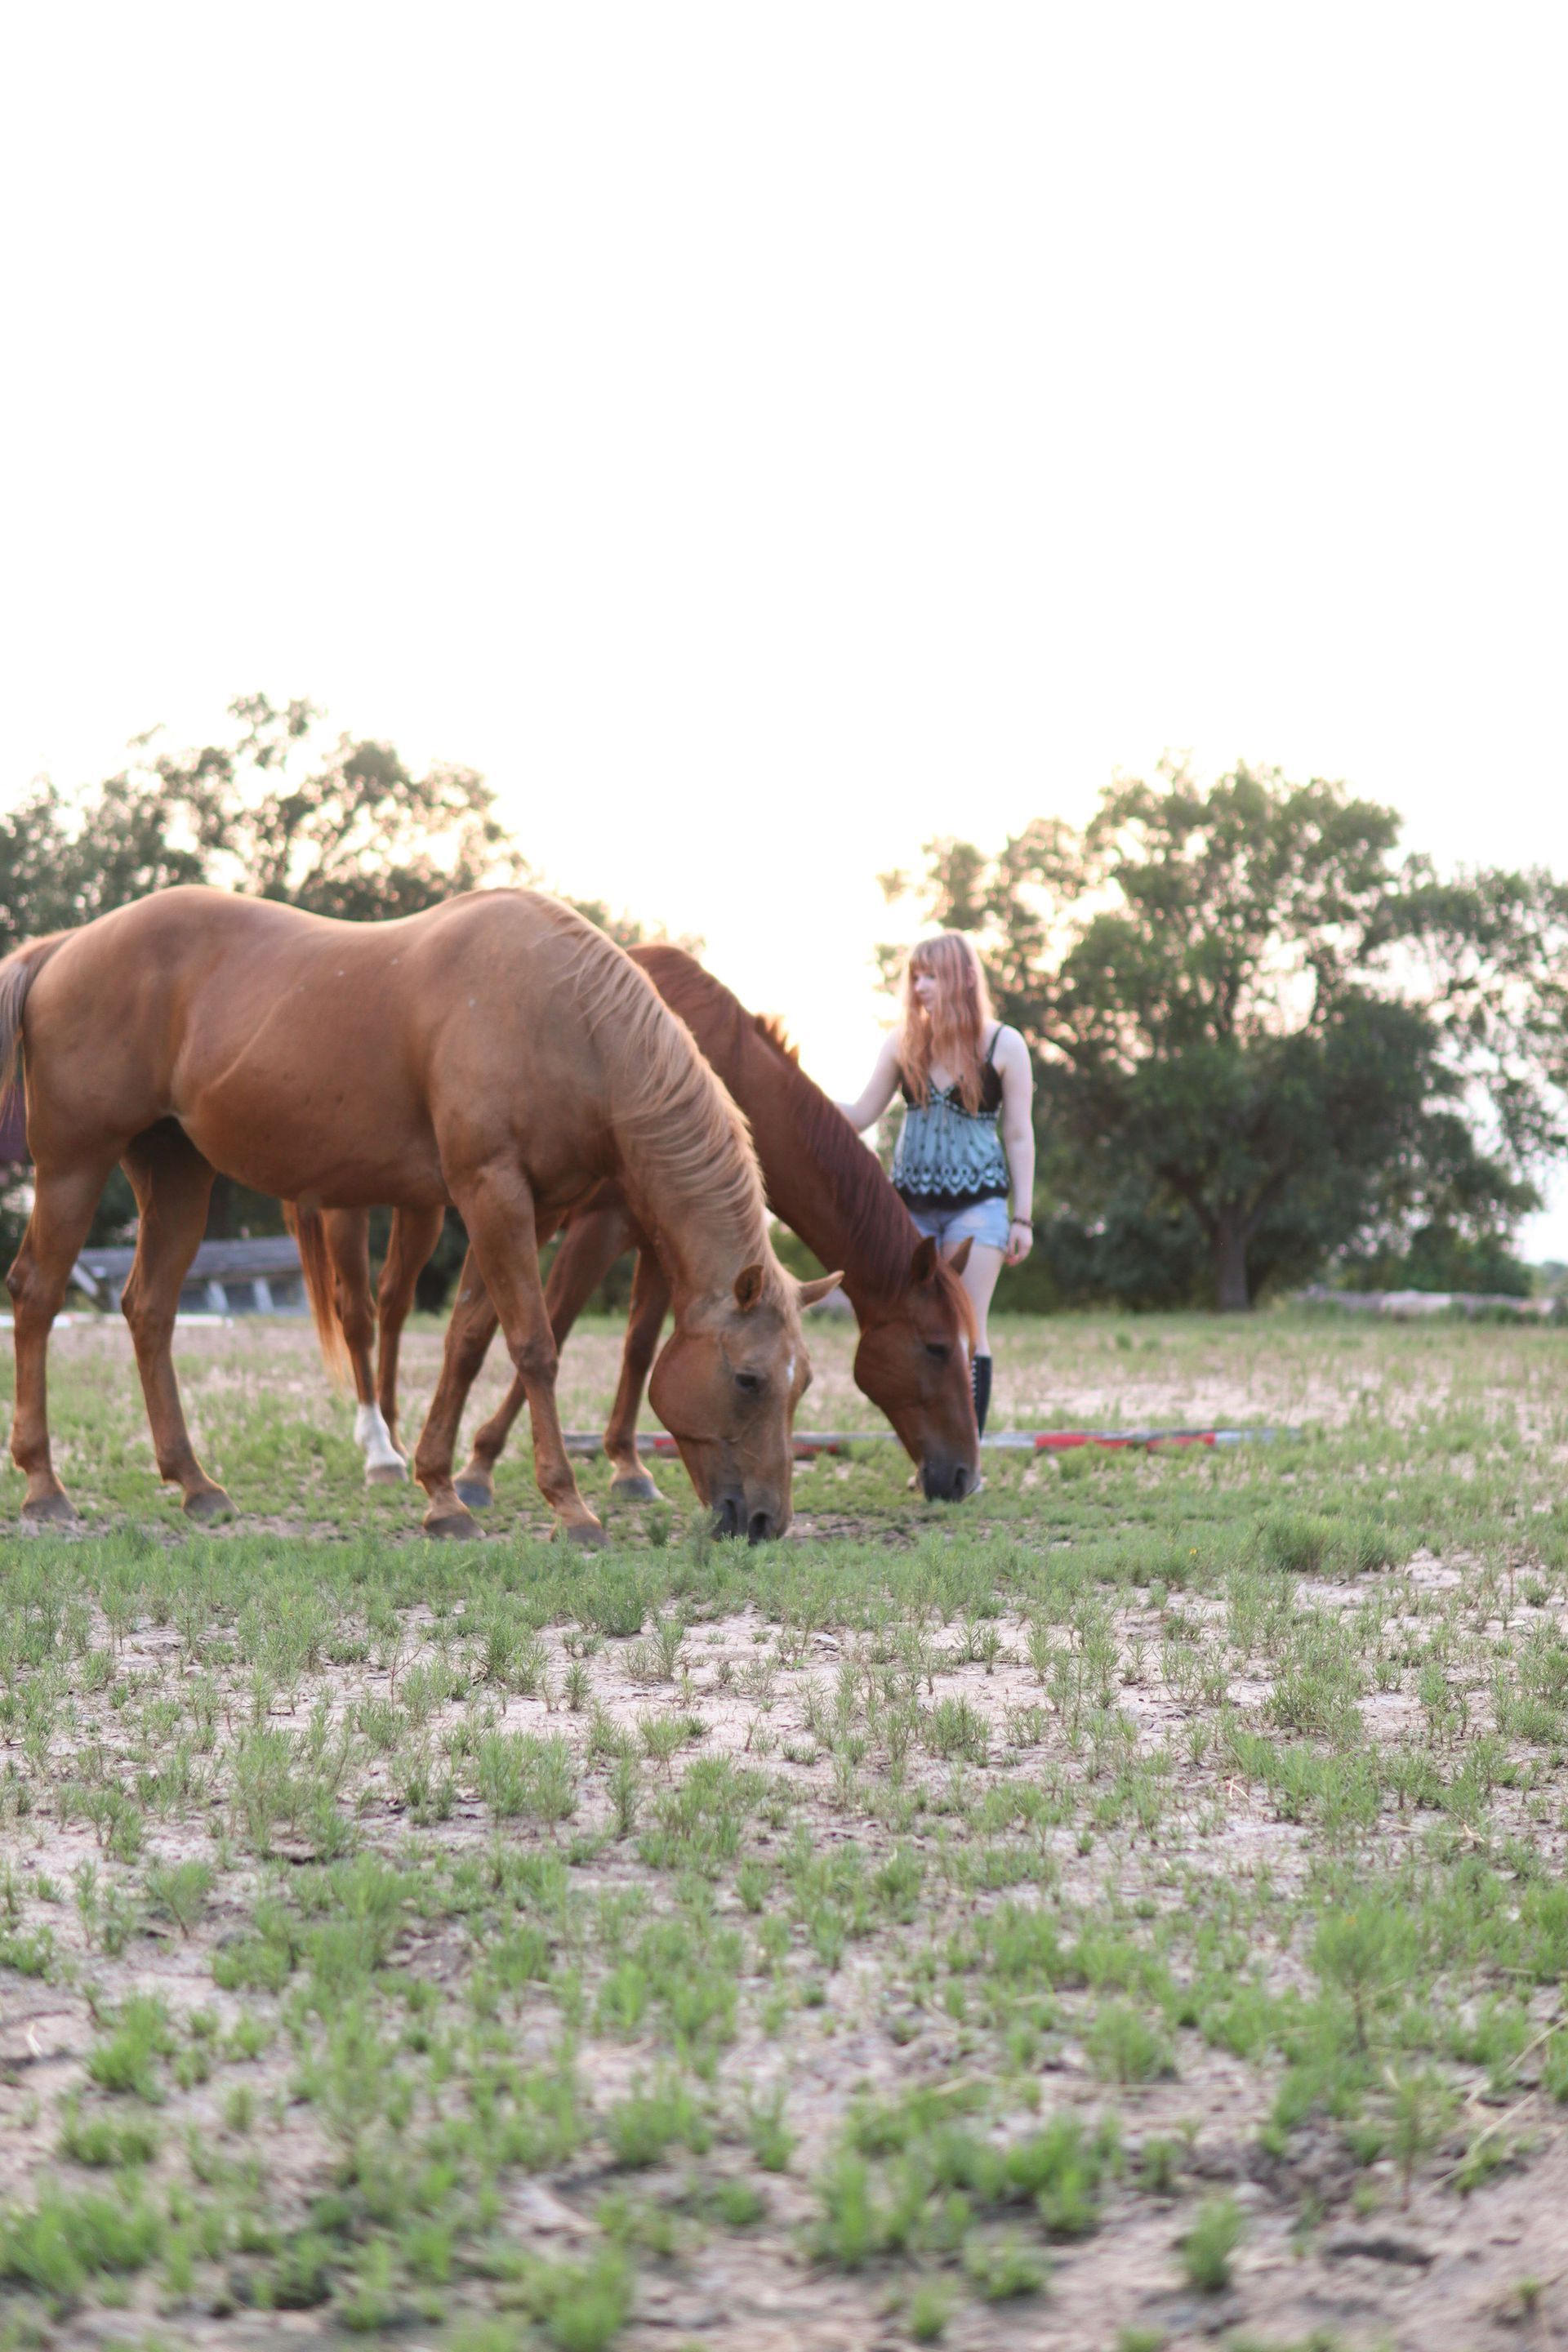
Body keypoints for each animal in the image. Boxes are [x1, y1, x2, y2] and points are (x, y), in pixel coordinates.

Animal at [0, 888, 837, 1544]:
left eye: (802, 1385)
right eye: (750, 1379)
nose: (766, 1522)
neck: (565, 1018)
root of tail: (65, 947)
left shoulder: (533, 1208)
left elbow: (469, 1337)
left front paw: (443, 1490)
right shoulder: (492, 1191)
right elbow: (533, 1345)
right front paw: (569, 1509)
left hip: (176, 1175)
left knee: (150, 1310)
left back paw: (194, 1483)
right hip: (74, 1166)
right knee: (37, 1296)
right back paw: (45, 1487)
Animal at [302, 944, 981, 1506]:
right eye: (936, 1347)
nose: (964, 1476)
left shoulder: (667, 1242)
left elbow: (639, 1345)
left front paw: (627, 1466)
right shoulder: (594, 1225)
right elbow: (554, 1326)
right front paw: (481, 1465)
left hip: (420, 1208)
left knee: (394, 1303)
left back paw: (392, 1433)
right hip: (357, 1206)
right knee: (362, 1312)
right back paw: (380, 1447)